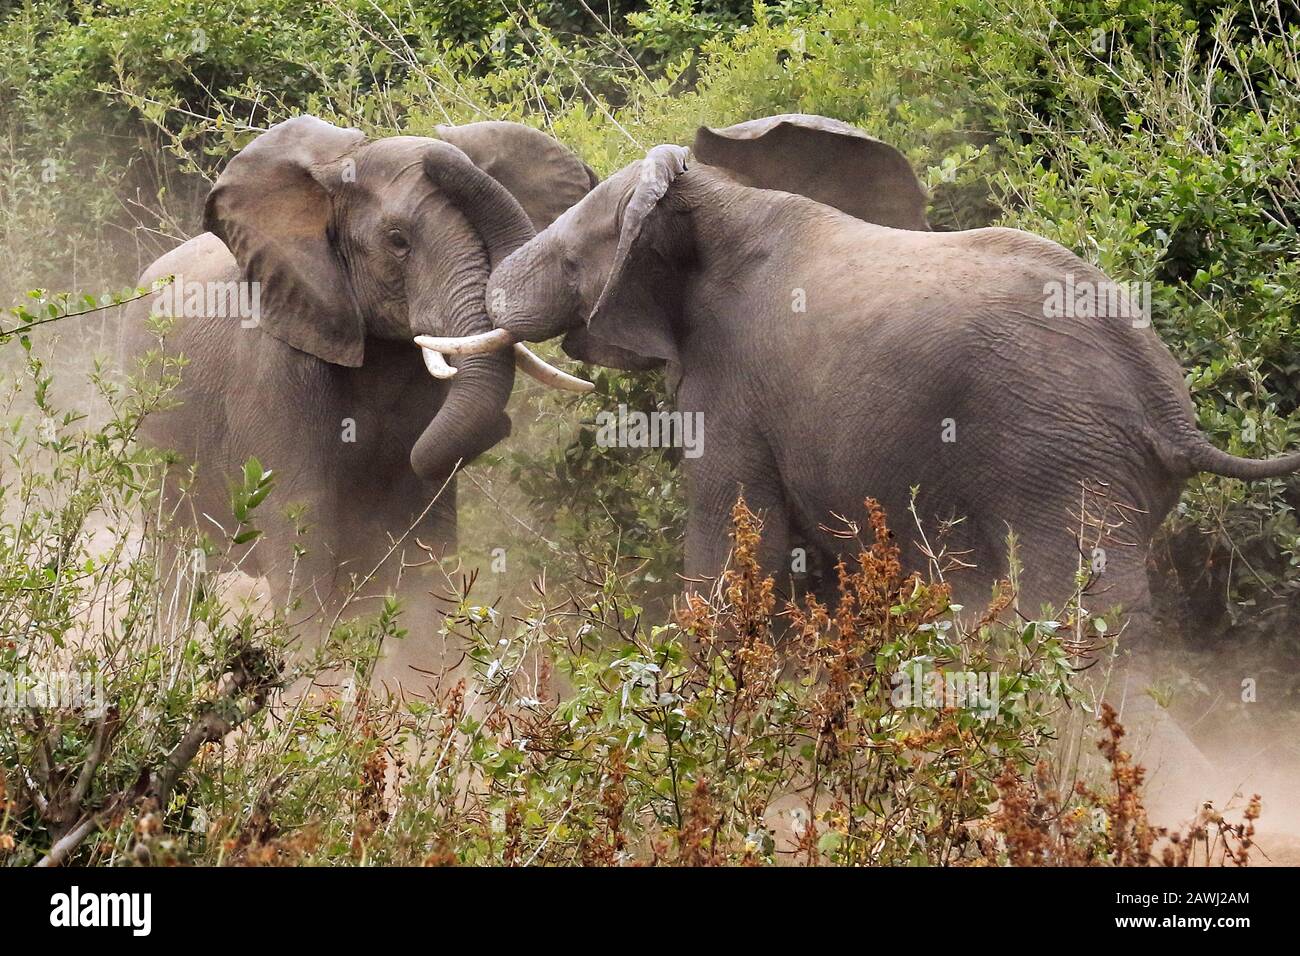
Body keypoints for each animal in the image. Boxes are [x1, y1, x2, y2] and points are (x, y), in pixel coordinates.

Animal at [122, 113, 595, 621]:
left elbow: (424, 537)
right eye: (397, 241)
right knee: (176, 560)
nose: (503, 425)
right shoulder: (274, 373)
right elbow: (299, 532)